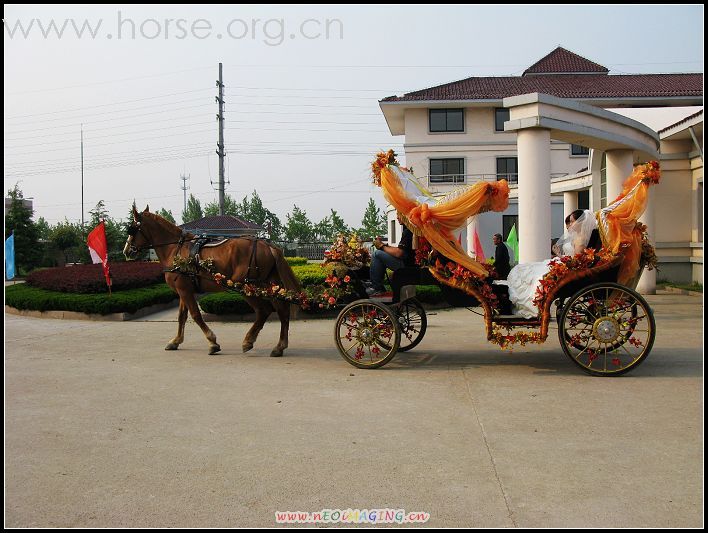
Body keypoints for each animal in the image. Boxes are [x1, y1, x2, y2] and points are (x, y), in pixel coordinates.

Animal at [123, 206, 300, 356]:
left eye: (132, 228)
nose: (126, 250)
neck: (176, 249)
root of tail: (267, 245)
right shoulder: (183, 290)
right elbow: (182, 316)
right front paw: (176, 341)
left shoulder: (184, 290)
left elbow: (195, 315)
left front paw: (213, 342)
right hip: (268, 284)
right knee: (282, 310)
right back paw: (279, 346)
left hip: (246, 285)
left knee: (264, 310)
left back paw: (249, 341)